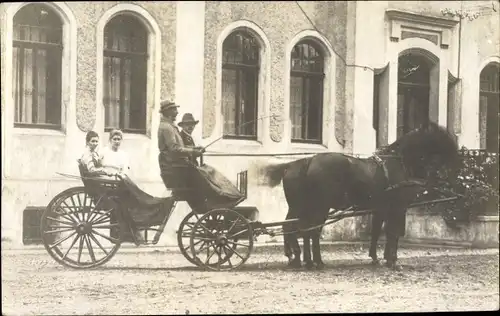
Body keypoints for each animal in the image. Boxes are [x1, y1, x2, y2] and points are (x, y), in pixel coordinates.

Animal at [260, 122, 458, 270]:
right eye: (441, 139)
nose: (452, 172)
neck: (399, 162)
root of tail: (308, 161)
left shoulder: (380, 209)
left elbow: (378, 232)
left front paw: (378, 258)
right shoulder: (398, 208)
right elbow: (393, 232)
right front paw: (393, 261)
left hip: (307, 208)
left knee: (300, 229)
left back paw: (303, 259)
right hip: (319, 207)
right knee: (310, 231)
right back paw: (312, 261)